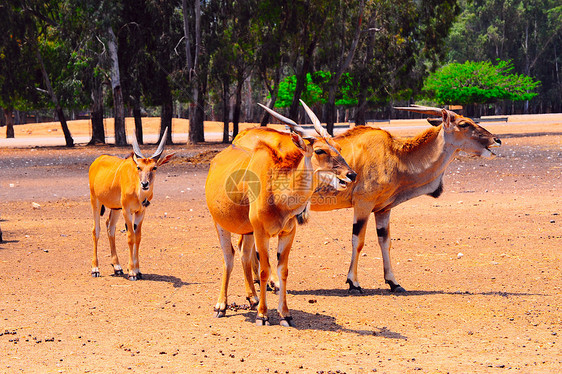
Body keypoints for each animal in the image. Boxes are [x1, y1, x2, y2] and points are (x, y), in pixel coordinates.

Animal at [88, 129, 173, 280]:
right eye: (139, 167)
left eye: (154, 167)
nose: (144, 184)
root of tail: (97, 161)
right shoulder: (126, 210)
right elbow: (130, 237)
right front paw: (132, 272)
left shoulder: (140, 212)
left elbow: (137, 237)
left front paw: (137, 270)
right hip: (95, 202)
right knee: (96, 230)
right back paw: (95, 269)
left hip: (115, 208)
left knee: (110, 228)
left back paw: (117, 267)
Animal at [206, 101, 354, 326]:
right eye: (319, 150)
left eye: (338, 148)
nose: (351, 174)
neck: (278, 192)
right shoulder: (262, 233)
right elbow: (265, 270)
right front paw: (263, 315)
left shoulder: (287, 233)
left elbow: (282, 270)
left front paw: (285, 314)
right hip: (220, 224)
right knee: (228, 257)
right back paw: (221, 306)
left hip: (248, 232)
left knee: (243, 254)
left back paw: (252, 298)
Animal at [234, 104, 500, 292]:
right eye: (464, 123)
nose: (496, 139)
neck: (395, 154)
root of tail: (239, 139)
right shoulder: (363, 205)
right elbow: (358, 241)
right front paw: (354, 282)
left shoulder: (383, 210)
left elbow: (385, 241)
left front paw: (394, 282)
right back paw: (269, 282)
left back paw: (260, 282)